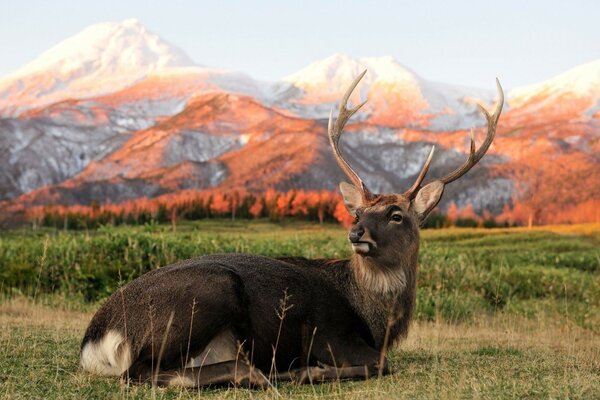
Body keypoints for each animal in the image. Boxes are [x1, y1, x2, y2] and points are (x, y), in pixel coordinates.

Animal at [78, 72, 502, 388]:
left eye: (397, 215)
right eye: (358, 212)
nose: (357, 233)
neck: (376, 321)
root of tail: (96, 339)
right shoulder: (329, 334)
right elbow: (380, 365)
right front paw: (308, 370)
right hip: (208, 293)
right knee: (140, 371)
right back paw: (264, 373)